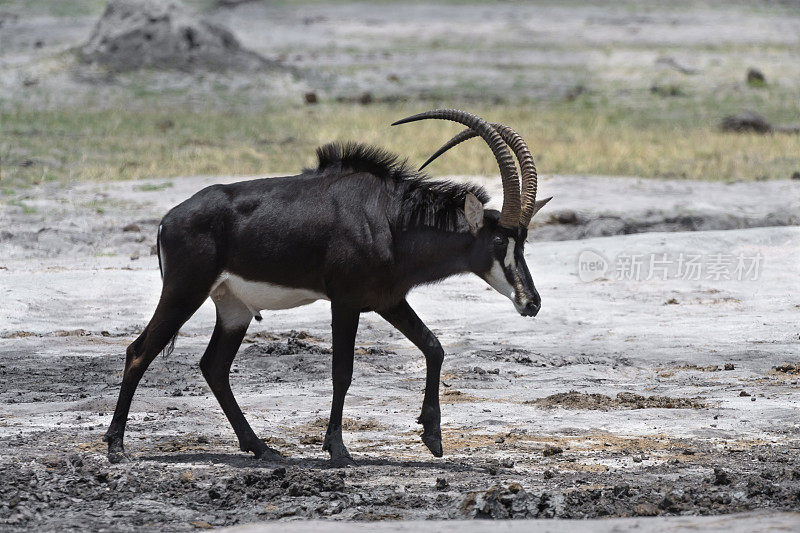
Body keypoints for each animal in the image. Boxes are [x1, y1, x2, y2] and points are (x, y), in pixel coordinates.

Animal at [104, 109, 552, 466]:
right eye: (499, 242)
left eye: (524, 240)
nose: (531, 303)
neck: (391, 221)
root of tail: (168, 219)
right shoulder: (346, 301)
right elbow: (342, 371)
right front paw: (337, 450)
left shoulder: (388, 300)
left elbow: (434, 347)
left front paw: (432, 436)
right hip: (185, 291)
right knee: (139, 351)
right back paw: (116, 447)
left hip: (234, 309)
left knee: (214, 366)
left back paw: (261, 448)